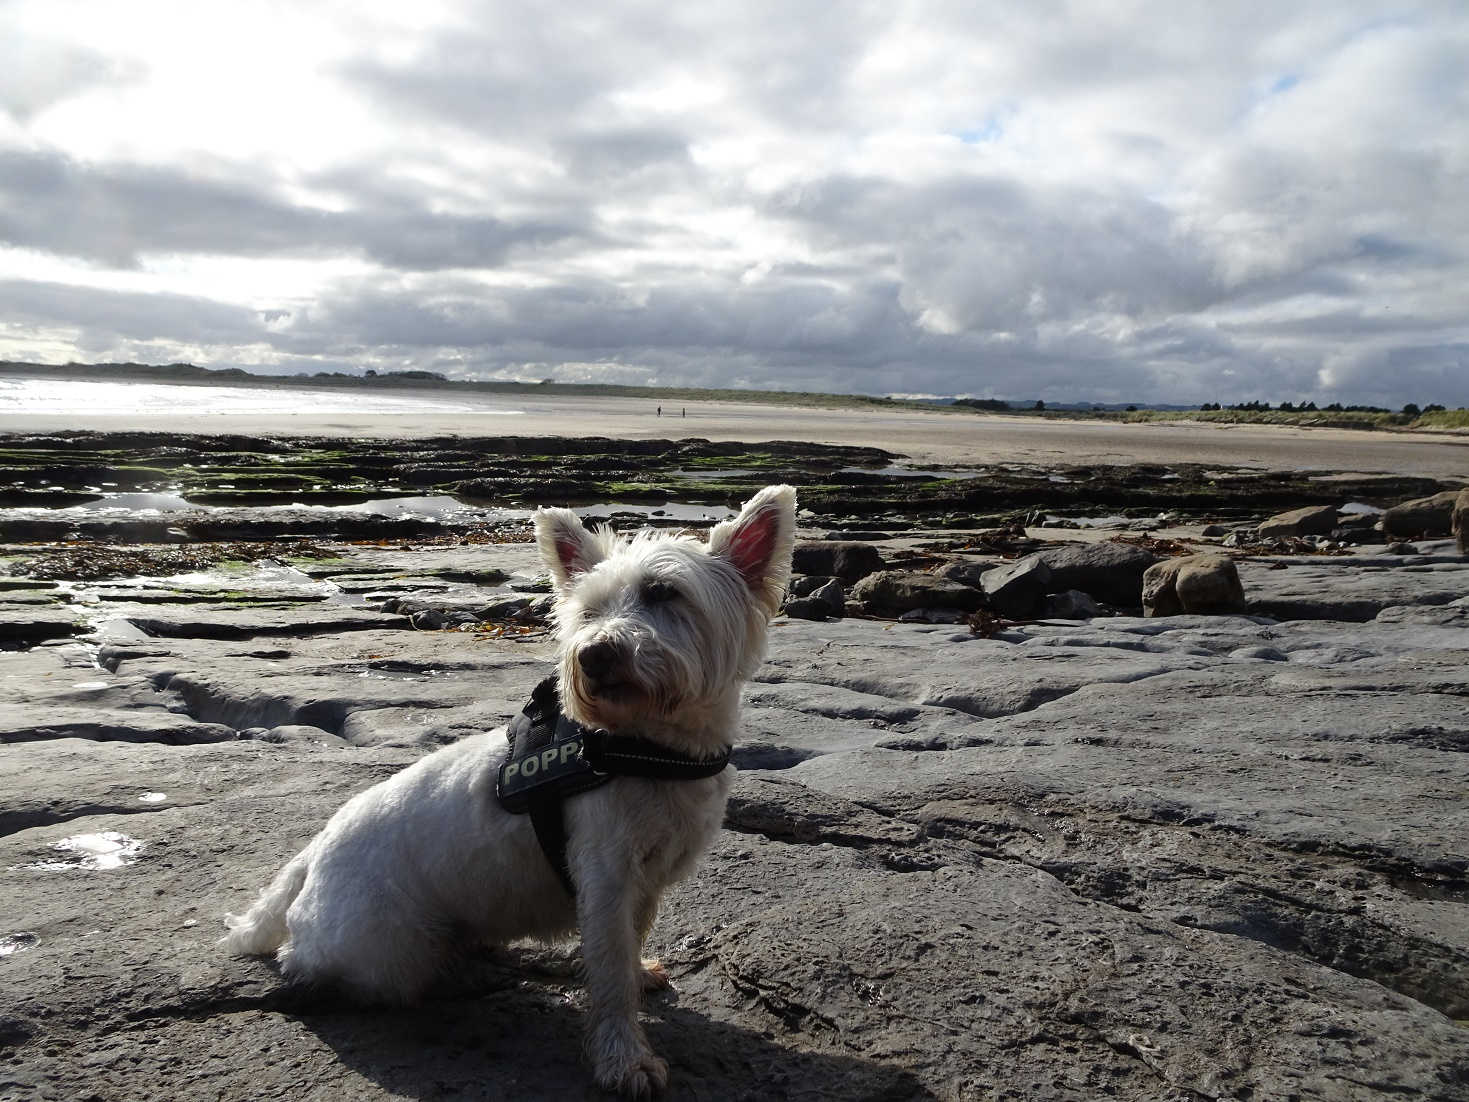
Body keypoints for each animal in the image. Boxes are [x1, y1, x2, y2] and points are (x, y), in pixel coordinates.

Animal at [220, 487, 793, 1099]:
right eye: (587, 611)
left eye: (664, 592)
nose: (593, 656)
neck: (644, 746)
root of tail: (313, 851)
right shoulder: (603, 873)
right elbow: (610, 971)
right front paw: (626, 1061)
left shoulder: (645, 879)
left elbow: (632, 942)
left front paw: (642, 976)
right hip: (382, 947)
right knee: (312, 958)